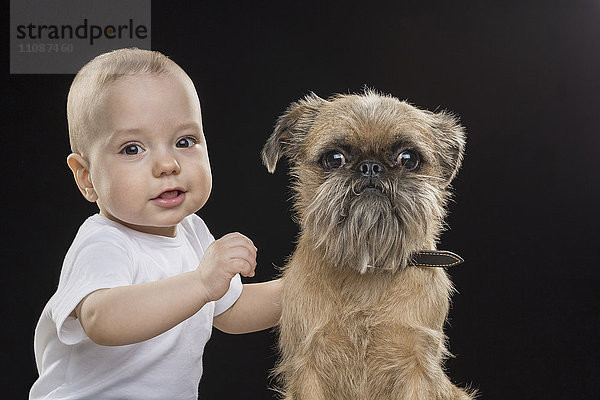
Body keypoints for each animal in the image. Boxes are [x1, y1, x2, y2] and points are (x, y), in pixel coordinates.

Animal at [262, 90, 474, 400]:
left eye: (408, 158)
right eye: (334, 158)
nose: (371, 167)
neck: (368, 263)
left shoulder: (417, 363)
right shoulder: (308, 364)